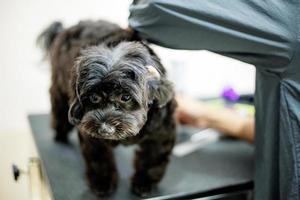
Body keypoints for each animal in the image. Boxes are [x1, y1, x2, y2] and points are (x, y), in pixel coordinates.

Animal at [38, 20, 177, 197]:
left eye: (125, 97)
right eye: (94, 97)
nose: (105, 129)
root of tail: (66, 29)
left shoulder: (161, 131)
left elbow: (152, 158)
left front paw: (144, 182)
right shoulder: (91, 134)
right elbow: (99, 159)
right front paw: (102, 183)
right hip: (59, 87)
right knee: (59, 109)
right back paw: (60, 133)